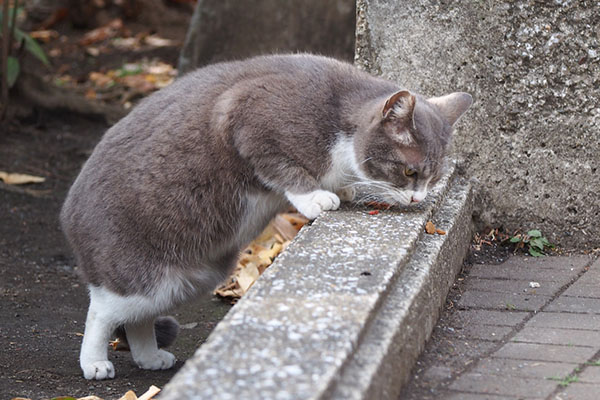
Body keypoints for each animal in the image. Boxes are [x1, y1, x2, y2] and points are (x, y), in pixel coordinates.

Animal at [61, 54, 474, 382]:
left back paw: (149, 356)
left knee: (138, 317)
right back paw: (94, 362)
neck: (340, 122)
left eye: (435, 177)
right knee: (102, 310)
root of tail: (68, 214)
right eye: (410, 172)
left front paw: (343, 190)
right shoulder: (249, 121)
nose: (419, 197)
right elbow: (285, 169)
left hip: (188, 280)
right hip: (140, 274)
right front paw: (316, 197)